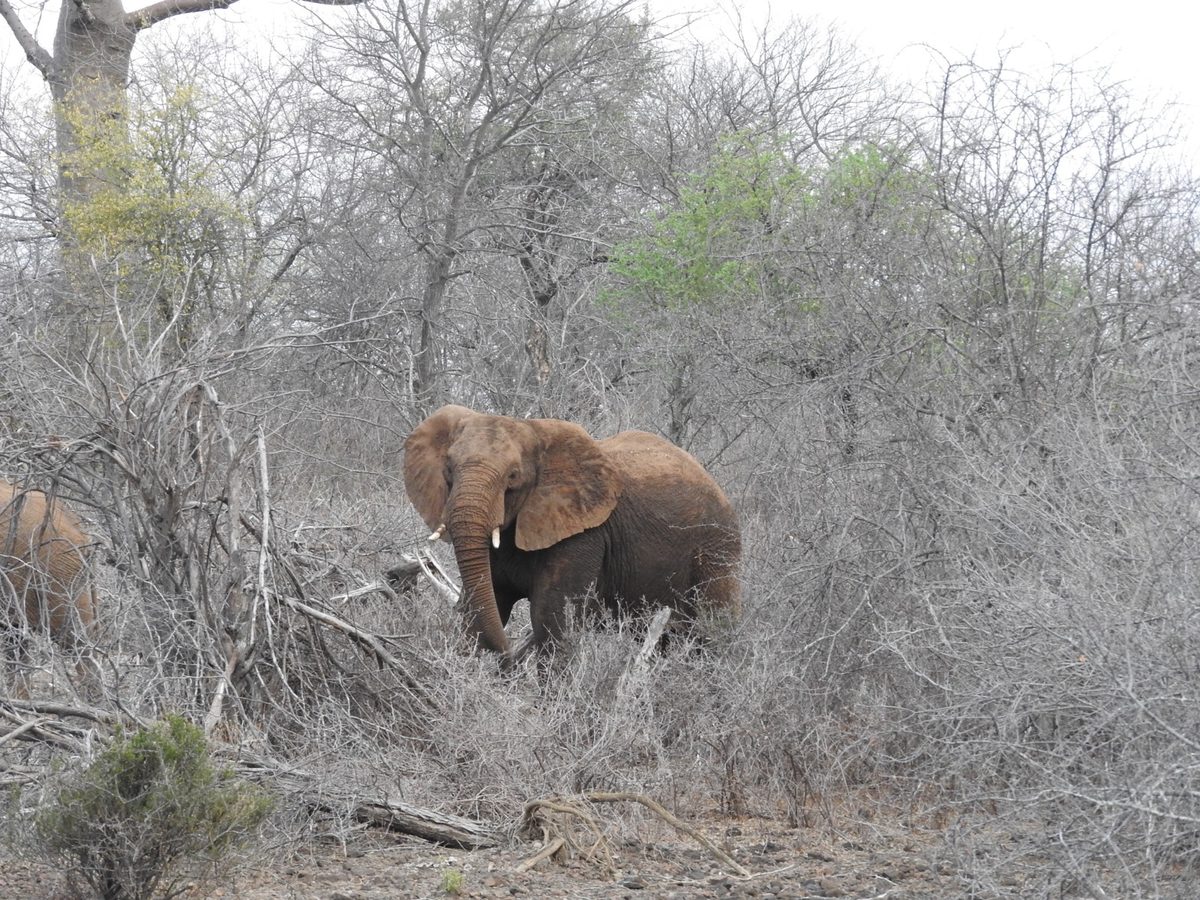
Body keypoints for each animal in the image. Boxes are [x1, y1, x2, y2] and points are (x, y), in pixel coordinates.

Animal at [403, 405, 741, 662]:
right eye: (448, 469)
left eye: (513, 477)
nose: (509, 656)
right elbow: (485, 603)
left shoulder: (585, 534)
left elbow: (551, 616)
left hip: (717, 549)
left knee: (711, 632)